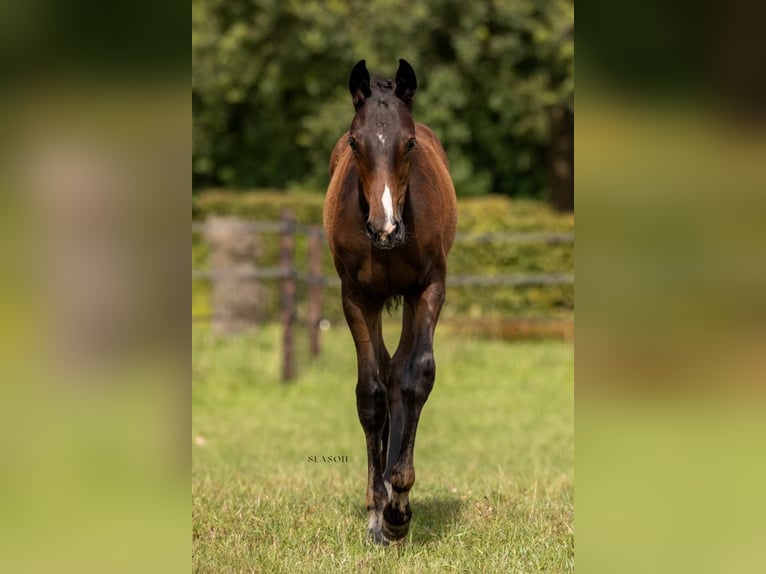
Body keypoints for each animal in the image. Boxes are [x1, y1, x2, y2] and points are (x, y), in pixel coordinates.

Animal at [322, 60, 456, 548]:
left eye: (409, 142)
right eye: (355, 143)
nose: (385, 228)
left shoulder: (429, 286)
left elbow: (417, 378)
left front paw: (399, 506)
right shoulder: (357, 297)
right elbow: (370, 394)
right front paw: (379, 512)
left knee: (400, 370)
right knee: (383, 371)